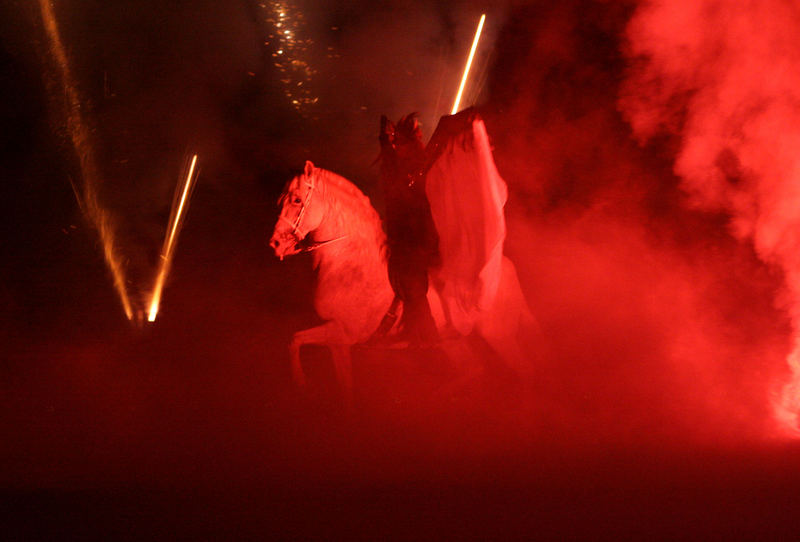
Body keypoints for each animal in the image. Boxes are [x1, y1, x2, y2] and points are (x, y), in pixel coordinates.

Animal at [268, 159, 536, 398]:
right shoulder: (338, 340)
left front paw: (300, 381)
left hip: (500, 336)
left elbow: (301, 346)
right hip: (453, 342)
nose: (276, 244)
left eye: (297, 199)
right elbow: (299, 344)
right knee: (474, 369)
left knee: (524, 372)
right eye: (281, 199)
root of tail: (503, 266)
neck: (350, 264)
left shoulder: (341, 335)